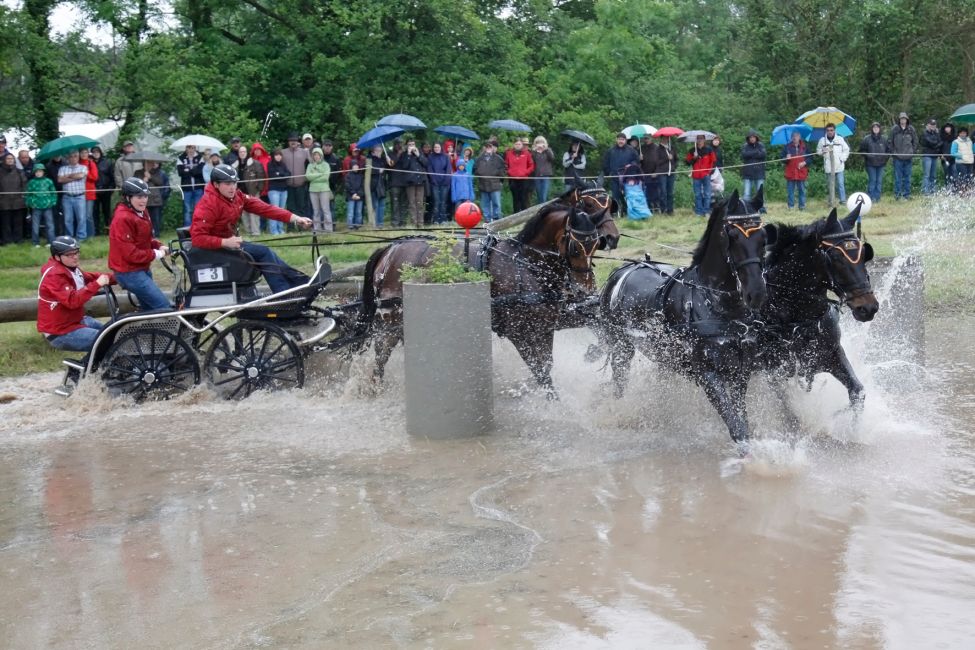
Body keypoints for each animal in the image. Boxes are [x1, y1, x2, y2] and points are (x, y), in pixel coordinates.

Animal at [354, 197, 608, 392]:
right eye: (575, 247)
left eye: (597, 244)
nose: (586, 291)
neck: (526, 264)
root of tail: (390, 249)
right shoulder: (519, 332)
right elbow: (539, 371)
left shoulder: (545, 326)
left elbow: (547, 365)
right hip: (391, 322)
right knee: (381, 357)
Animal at [600, 187, 772, 446]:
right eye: (733, 236)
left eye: (762, 237)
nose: (757, 293)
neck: (716, 304)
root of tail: (623, 269)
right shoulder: (707, 374)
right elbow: (736, 427)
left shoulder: (739, 372)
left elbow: (742, 420)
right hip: (621, 347)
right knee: (620, 382)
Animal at [756, 202, 884, 410]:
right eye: (836, 257)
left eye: (864, 254)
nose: (868, 308)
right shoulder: (774, 373)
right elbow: (787, 410)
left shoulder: (831, 355)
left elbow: (857, 392)